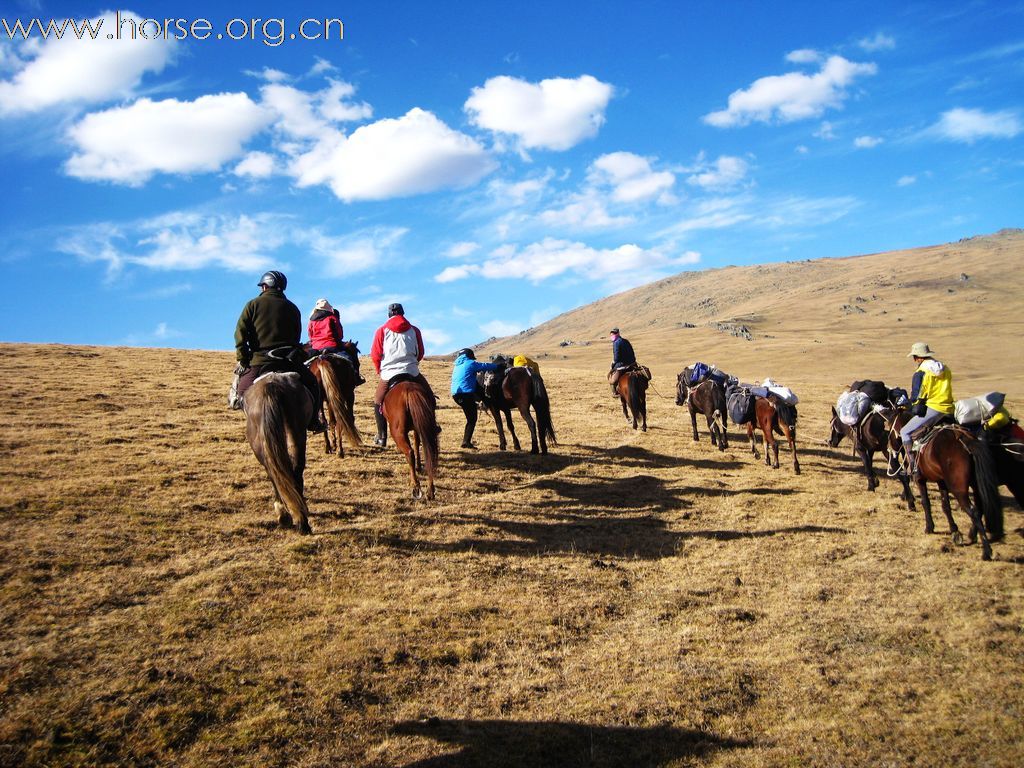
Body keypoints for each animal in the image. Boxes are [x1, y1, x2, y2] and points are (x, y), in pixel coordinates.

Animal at [244, 372, 315, 536]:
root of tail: (272, 385)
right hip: (294, 432)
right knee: (289, 469)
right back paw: (300, 518)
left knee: (280, 470)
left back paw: (288, 515)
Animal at [884, 415, 1003, 561]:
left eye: (890, 431)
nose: (889, 448)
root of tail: (963, 439)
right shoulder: (941, 482)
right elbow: (945, 506)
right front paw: (954, 531)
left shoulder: (920, 479)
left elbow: (926, 503)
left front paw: (929, 527)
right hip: (975, 485)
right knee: (980, 508)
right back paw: (973, 536)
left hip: (958, 489)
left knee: (973, 511)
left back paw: (986, 551)